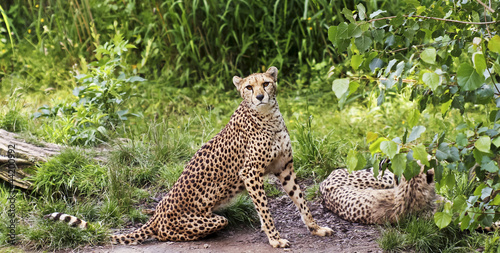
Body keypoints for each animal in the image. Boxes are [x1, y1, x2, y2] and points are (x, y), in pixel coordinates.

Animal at [45, 66, 330, 247]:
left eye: (266, 83)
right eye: (249, 87)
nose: (260, 96)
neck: (268, 116)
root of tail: (158, 215)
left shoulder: (285, 168)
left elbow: (301, 200)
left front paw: (315, 228)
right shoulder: (250, 173)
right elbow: (265, 208)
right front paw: (274, 238)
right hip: (208, 219)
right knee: (175, 233)